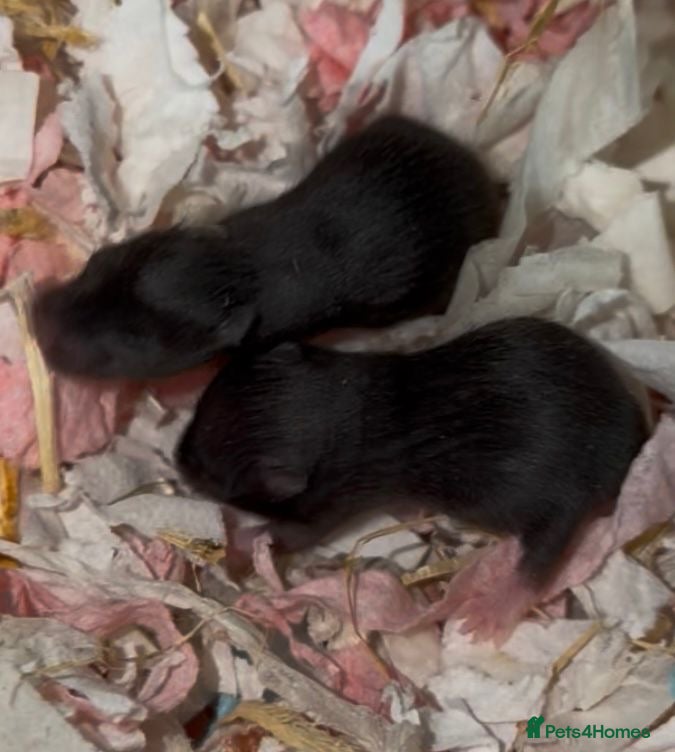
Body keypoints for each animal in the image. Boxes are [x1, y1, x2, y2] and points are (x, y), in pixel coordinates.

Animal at [176, 317, 649, 587]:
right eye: (196, 414)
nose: (177, 459)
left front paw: (242, 539)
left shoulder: (330, 507)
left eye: (209, 474)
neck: (348, 410)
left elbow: (293, 534)